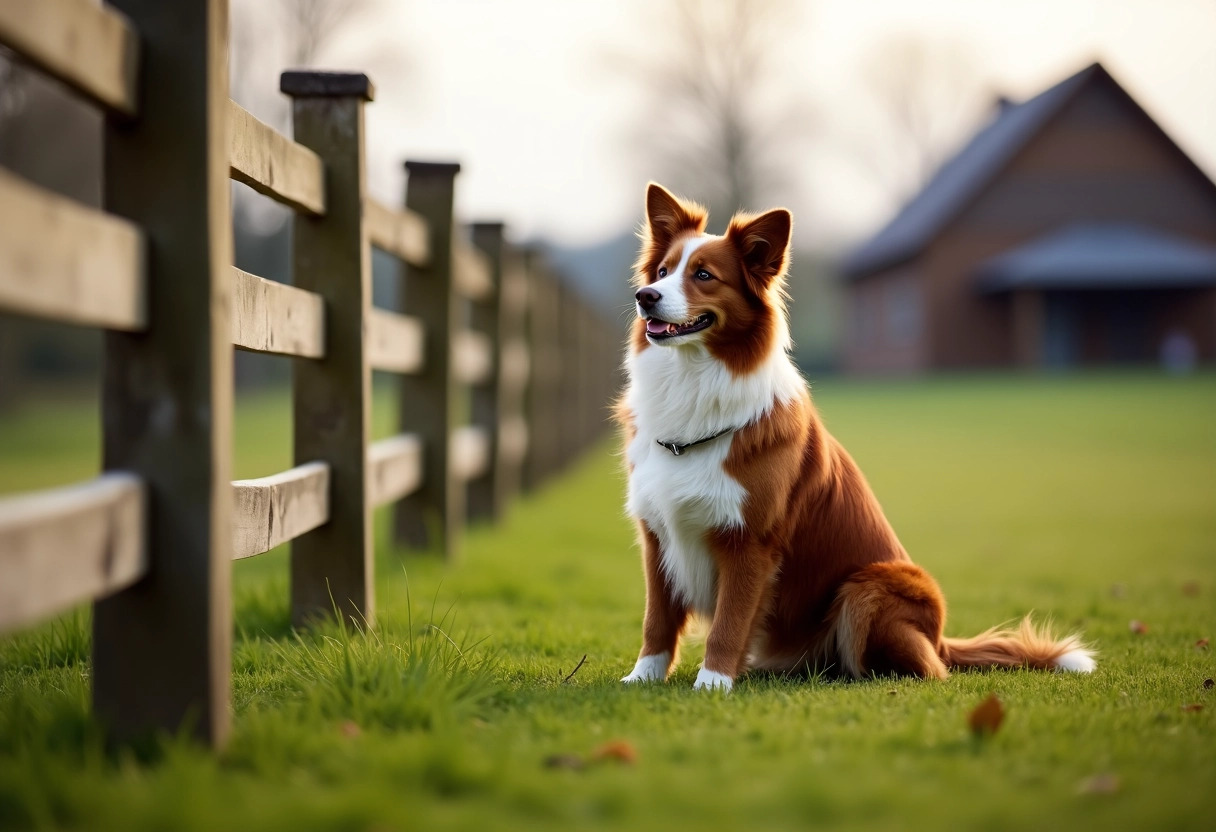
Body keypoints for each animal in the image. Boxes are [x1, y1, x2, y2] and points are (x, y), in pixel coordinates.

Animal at [617, 184, 1094, 690]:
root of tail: (940, 638)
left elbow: (728, 622)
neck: (692, 383)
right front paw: (642, 678)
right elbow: (656, 620)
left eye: (704, 275)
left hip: (870, 585)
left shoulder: (750, 543)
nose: (645, 296)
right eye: (663, 272)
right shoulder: (657, 534)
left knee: (927, 670)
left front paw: (712, 683)